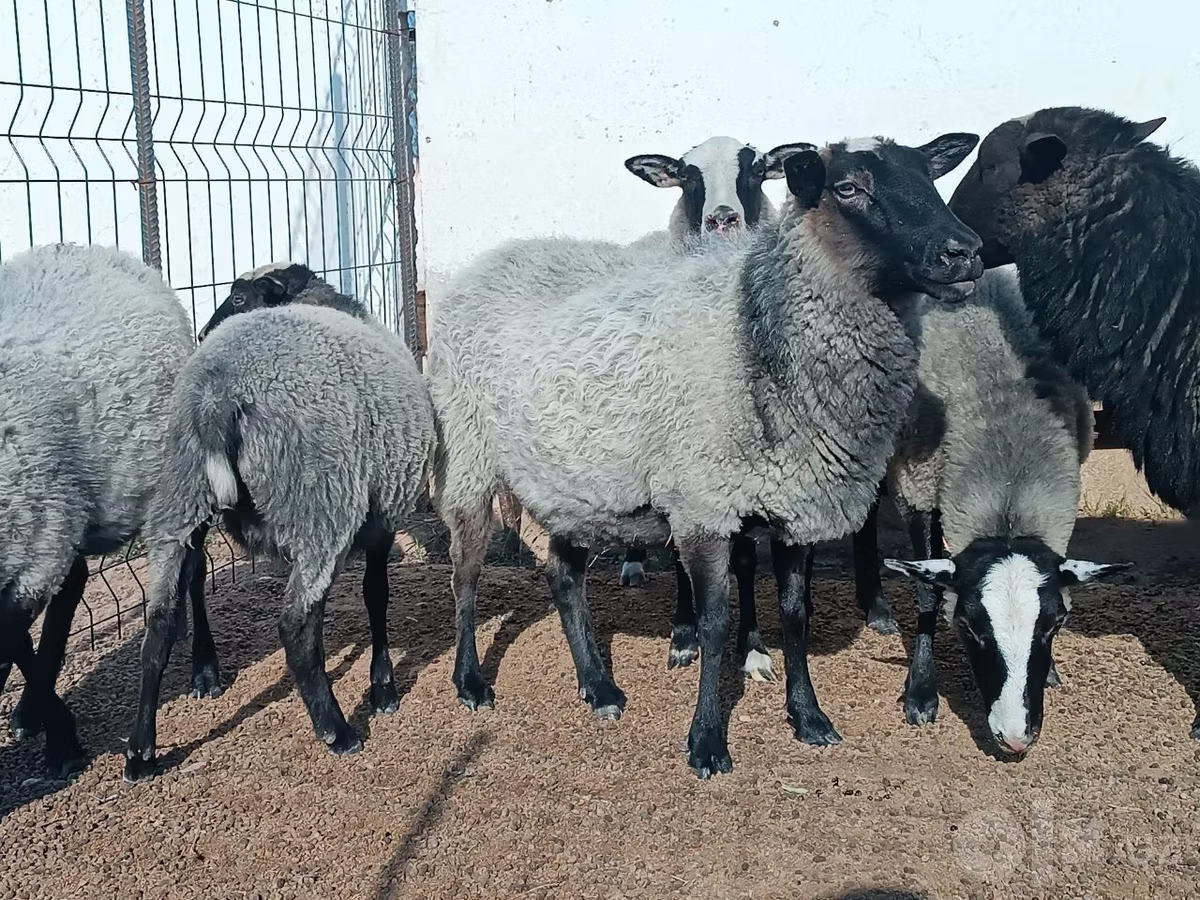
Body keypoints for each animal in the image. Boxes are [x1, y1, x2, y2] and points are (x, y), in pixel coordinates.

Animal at [123, 265, 436, 781]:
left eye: (239, 298)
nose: (202, 334)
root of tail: (216, 396)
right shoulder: (383, 515)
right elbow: (376, 596)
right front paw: (384, 689)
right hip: (320, 505)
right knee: (295, 624)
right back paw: (337, 730)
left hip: (178, 499)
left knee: (161, 622)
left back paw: (141, 752)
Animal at [428, 132, 985, 777]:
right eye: (848, 187)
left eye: (929, 175)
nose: (964, 253)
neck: (759, 339)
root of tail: (492, 259)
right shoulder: (704, 505)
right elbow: (715, 622)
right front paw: (707, 740)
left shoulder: (795, 504)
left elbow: (794, 613)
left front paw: (809, 717)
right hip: (468, 455)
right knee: (465, 574)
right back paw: (470, 681)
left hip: (574, 477)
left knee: (563, 576)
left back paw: (599, 687)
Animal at [879, 265, 1130, 755]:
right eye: (968, 627)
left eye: (1054, 625)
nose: (1015, 739)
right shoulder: (917, 486)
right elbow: (927, 592)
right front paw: (921, 692)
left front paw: (1051, 672)